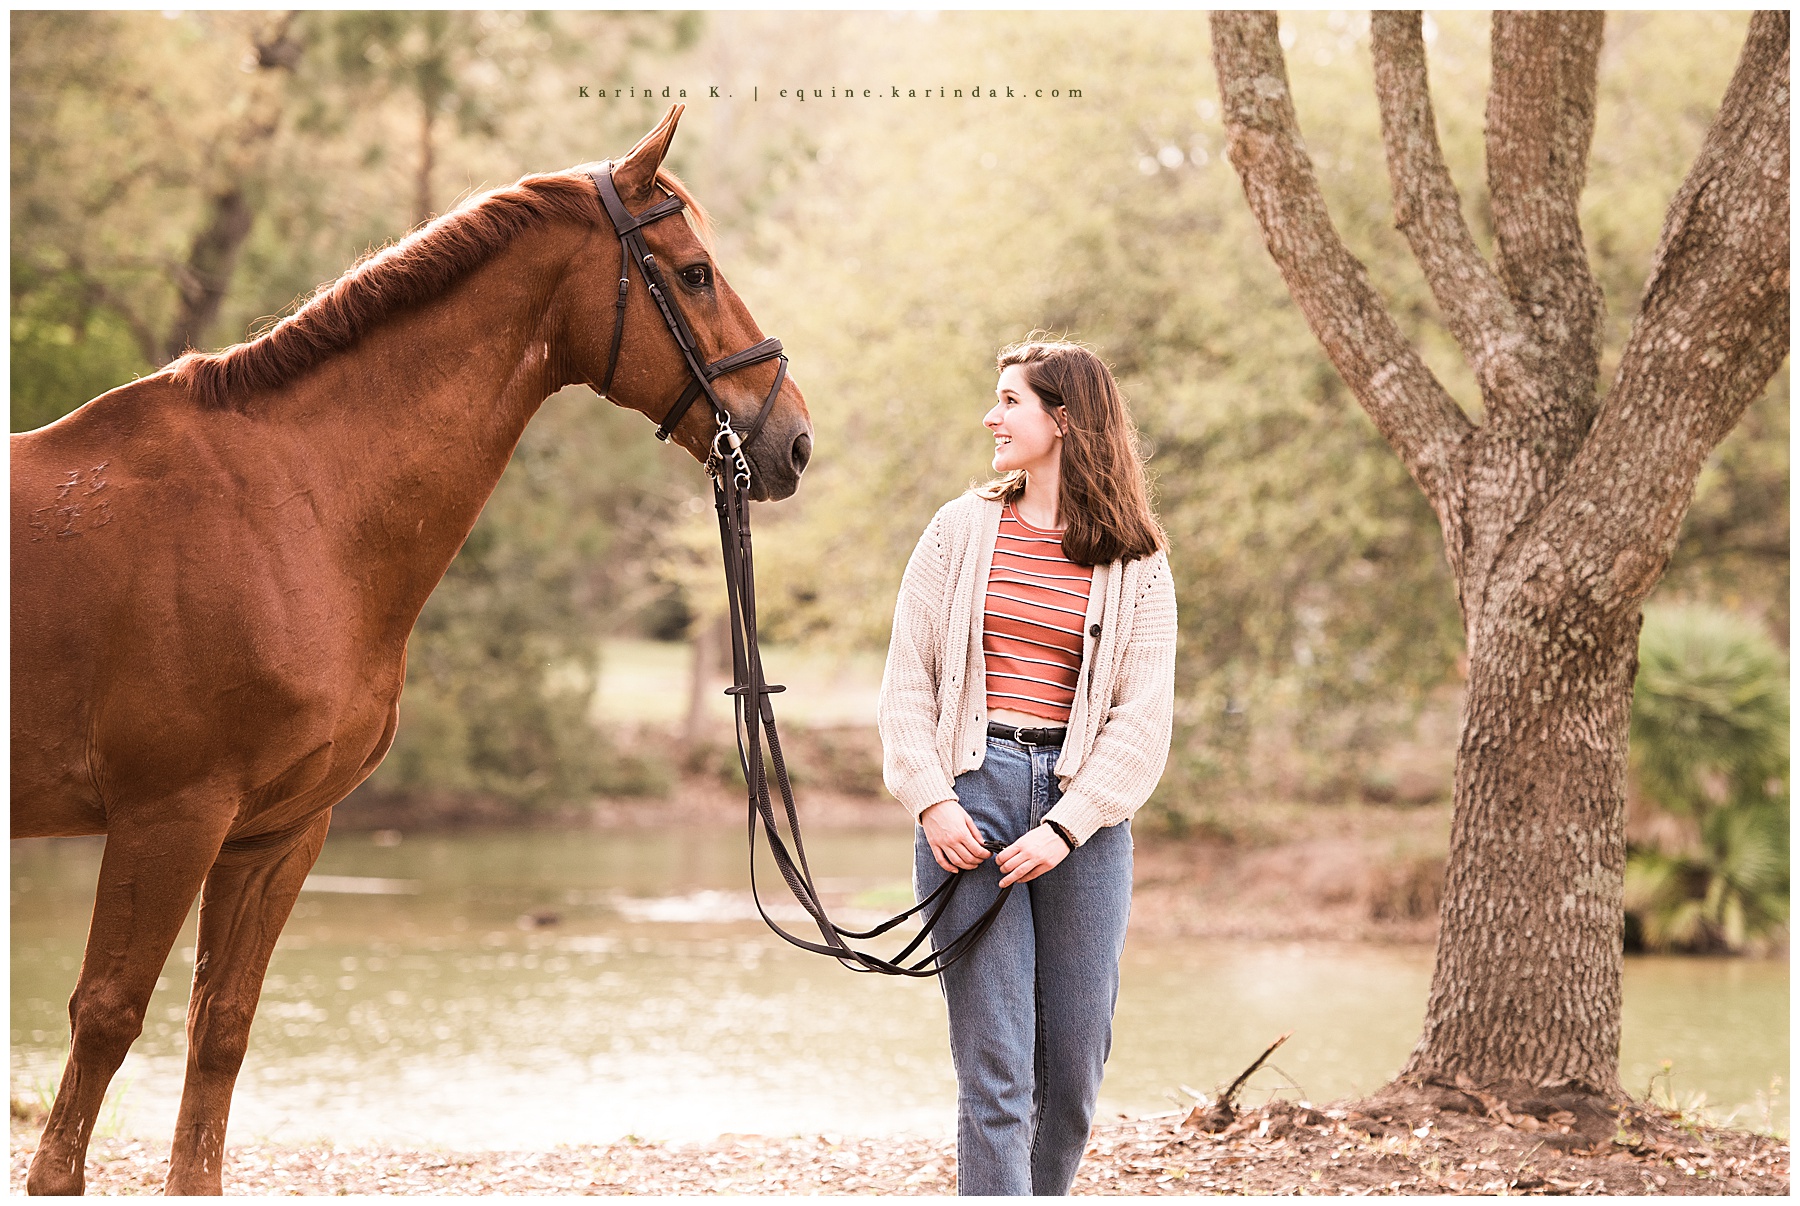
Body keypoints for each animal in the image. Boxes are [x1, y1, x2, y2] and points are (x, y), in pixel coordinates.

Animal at [10, 105, 811, 1196]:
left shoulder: (278, 832)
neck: (285, 507)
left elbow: (220, 1032)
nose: (793, 440)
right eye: (692, 273)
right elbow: (104, 1022)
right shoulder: (166, 819)